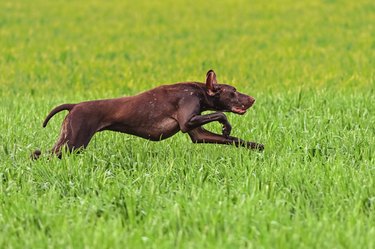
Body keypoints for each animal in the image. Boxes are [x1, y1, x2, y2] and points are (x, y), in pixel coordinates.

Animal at [32, 69, 266, 160]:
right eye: (233, 92)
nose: (253, 99)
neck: (198, 91)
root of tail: (74, 106)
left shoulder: (198, 134)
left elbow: (235, 140)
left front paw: (257, 146)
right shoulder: (187, 120)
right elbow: (220, 114)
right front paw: (226, 126)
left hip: (66, 141)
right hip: (74, 143)